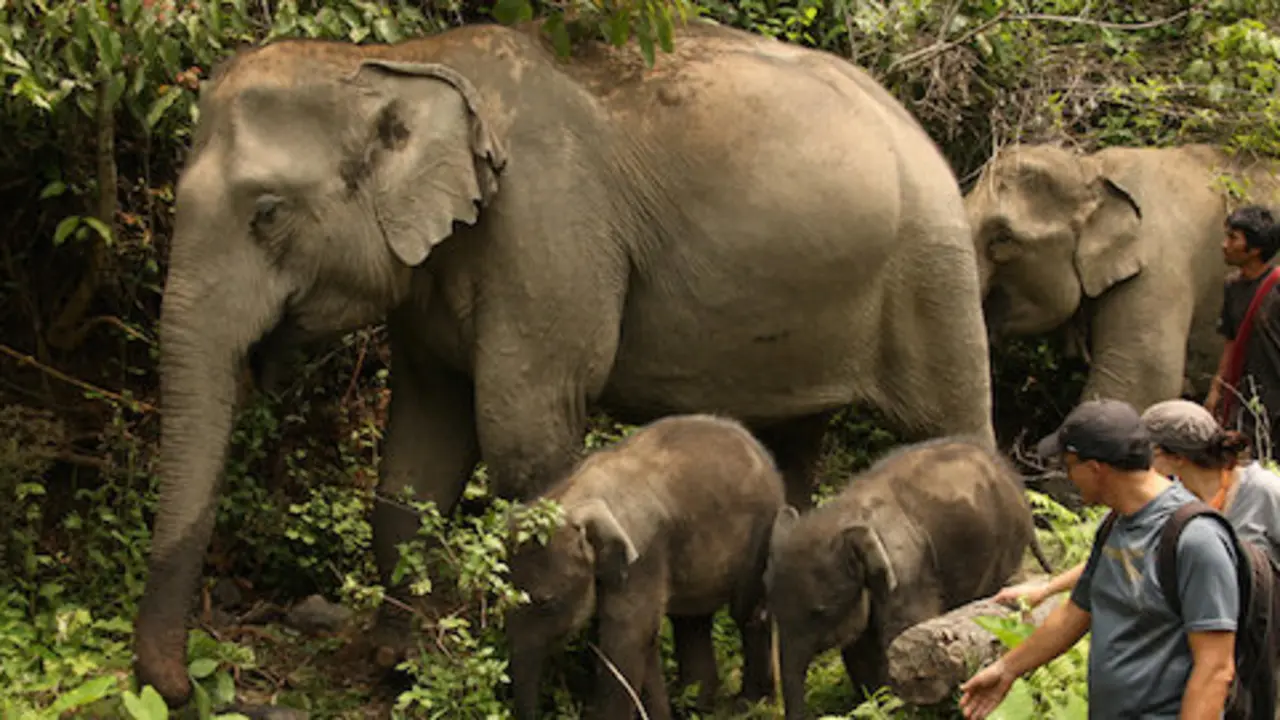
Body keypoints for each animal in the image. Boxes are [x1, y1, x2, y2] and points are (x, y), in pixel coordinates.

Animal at [505, 414, 786, 720]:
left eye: (547, 602)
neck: (577, 495)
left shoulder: (644, 556)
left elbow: (627, 638)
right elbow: (643, 639)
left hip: (763, 530)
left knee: (747, 613)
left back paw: (749, 705)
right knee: (691, 621)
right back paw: (695, 708)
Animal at [764, 437, 1052, 720]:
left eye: (820, 612)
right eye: (773, 610)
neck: (843, 515)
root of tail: (1014, 478)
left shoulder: (909, 575)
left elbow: (898, 640)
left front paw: (897, 707)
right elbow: (859, 650)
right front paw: (875, 704)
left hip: (1006, 544)